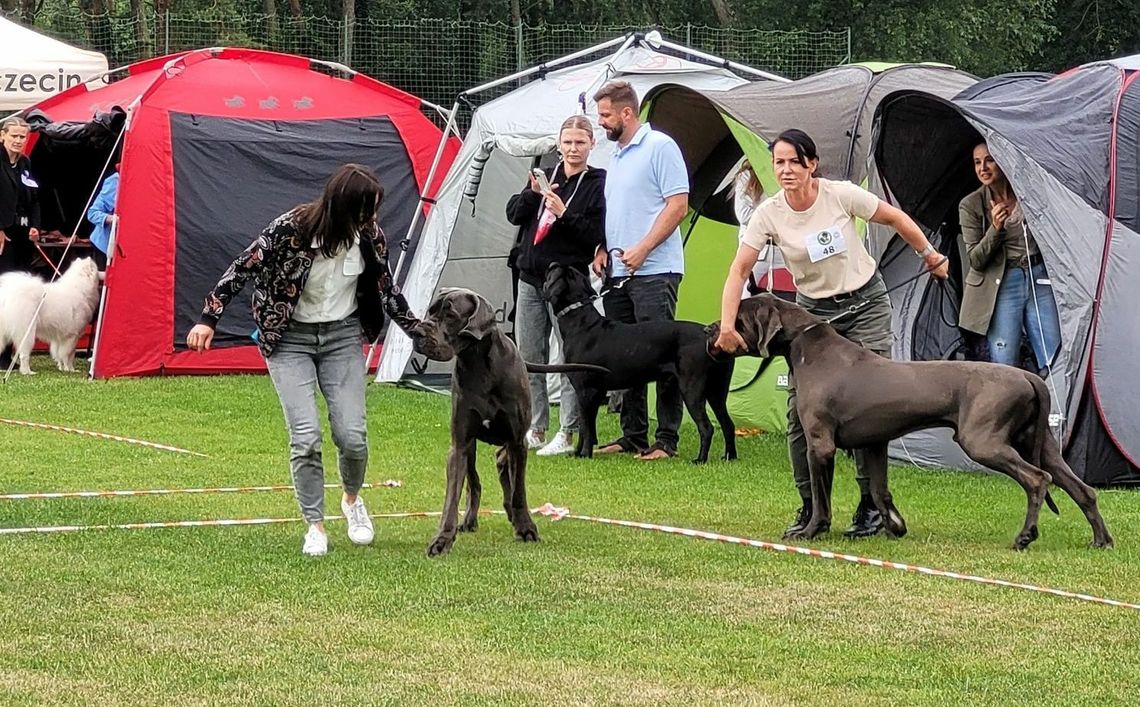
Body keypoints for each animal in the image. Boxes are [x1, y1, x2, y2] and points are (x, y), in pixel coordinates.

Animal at [410, 287, 606, 558]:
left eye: (450, 314)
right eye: (430, 311)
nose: (416, 332)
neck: (478, 364)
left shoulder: (517, 441)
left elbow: (518, 492)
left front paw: (525, 528)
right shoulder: (460, 443)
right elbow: (452, 497)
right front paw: (442, 539)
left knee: (504, 466)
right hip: (471, 447)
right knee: (475, 482)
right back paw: (470, 519)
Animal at [544, 263, 738, 462]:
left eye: (554, 273)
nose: (552, 264)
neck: (579, 321)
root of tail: (712, 340)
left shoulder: (587, 391)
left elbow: (587, 428)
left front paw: (584, 454)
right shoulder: (593, 393)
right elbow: (585, 426)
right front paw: (578, 453)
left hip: (692, 389)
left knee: (707, 427)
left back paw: (700, 460)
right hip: (716, 391)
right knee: (728, 425)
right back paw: (729, 457)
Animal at [711, 296, 1112, 549]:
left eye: (736, 319)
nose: (711, 329)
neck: (805, 346)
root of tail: (1031, 377)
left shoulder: (820, 444)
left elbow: (823, 497)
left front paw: (811, 531)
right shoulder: (874, 443)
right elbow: (878, 489)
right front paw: (894, 526)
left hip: (984, 441)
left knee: (1037, 480)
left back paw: (1025, 537)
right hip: (1041, 445)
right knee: (1083, 490)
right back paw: (1101, 540)